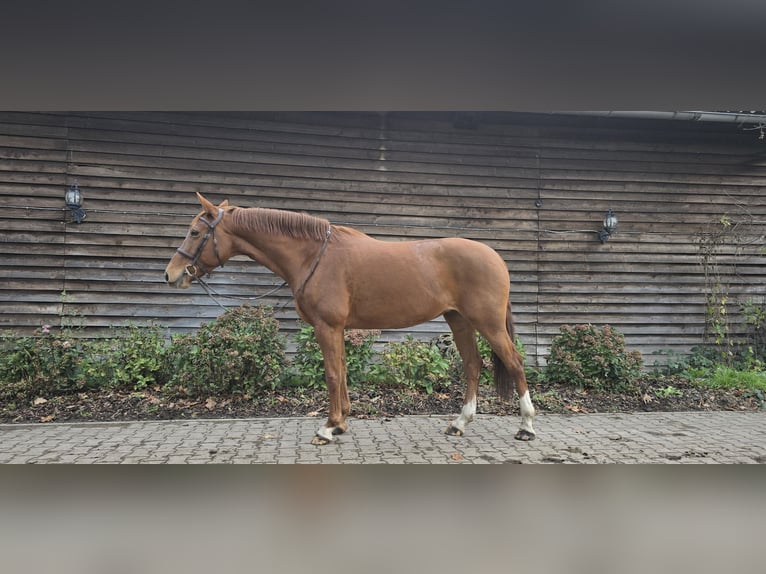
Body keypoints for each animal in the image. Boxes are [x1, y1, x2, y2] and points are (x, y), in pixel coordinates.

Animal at [164, 193, 536, 445]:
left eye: (195, 232)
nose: (171, 275)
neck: (313, 256)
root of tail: (495, 258)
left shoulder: (327, 326)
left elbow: (331, 375)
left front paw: (327, 428)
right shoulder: (338, 328)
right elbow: (341, 372)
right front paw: (341, 423)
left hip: (487, 323)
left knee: (515, 363)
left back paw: (526, 426)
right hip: (459, 321)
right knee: (473, 365)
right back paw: (460, 423)